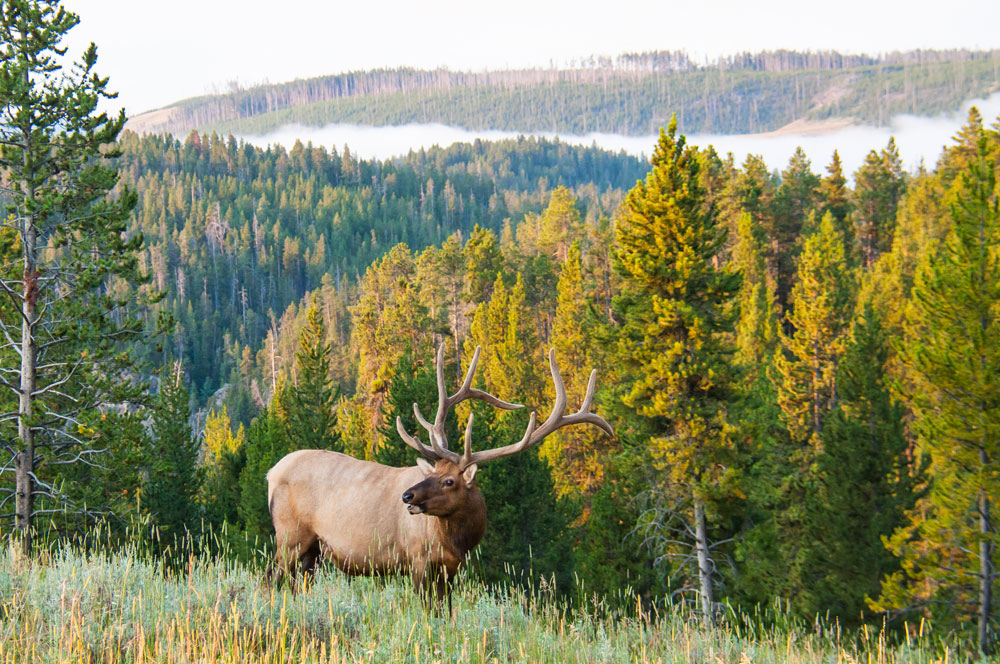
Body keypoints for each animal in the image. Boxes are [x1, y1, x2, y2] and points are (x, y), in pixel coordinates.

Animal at [264, 348, 608, 608]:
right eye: (435, 473)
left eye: (449, 481)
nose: (407, 496)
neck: (457, 541)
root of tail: (271, 473)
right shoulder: (416, 559)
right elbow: (429, 610)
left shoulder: (451, 569)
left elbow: (446, 612)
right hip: (290, 534)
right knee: (273, 577)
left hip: (313, 549)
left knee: (297, 583)